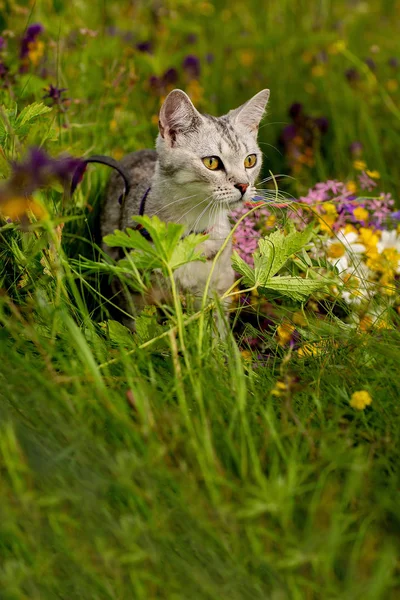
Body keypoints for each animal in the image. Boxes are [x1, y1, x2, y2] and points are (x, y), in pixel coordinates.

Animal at [101, 89, 268, 318]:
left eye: (250, 160)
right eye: (211, 162)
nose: (244, 185)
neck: (192, 229)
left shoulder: (218, 290)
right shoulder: (132, 290)